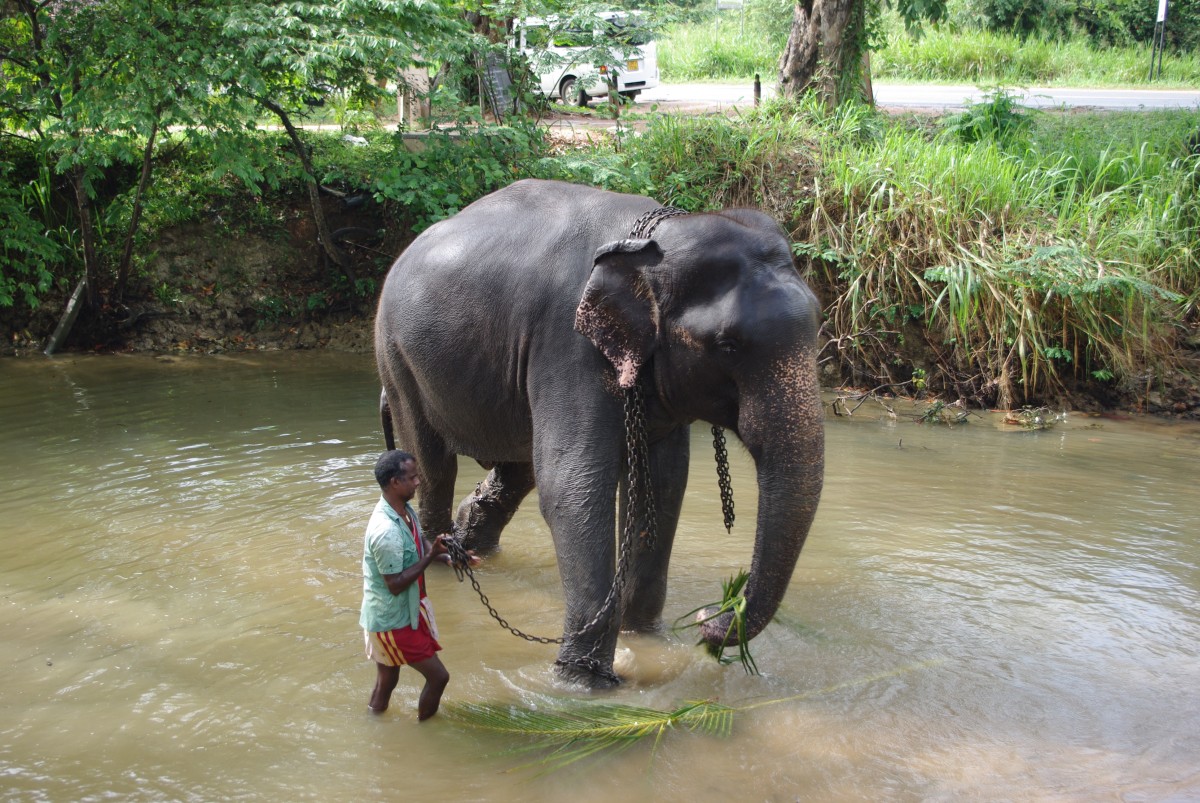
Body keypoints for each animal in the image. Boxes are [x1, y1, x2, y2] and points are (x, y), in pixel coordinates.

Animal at [374, 178, 825, 686]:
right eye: (727, 345)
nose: (710, 619)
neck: (654, 241)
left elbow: (663, 484)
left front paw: (648, 644)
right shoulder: (568, 344)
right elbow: (572, 486)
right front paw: (582, 681)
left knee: (518, 468)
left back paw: (472, 548)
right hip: (396, 354)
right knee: (433, 465)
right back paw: (442, 564)